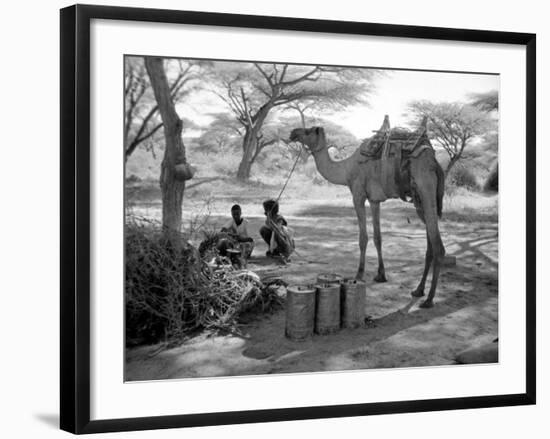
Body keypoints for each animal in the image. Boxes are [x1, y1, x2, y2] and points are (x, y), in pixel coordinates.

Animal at [292, 117, 446, 310]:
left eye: (309, 131)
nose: (292, 133)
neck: (346, 169)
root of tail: (435, 162)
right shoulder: (374, 200)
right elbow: (378, 238)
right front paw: (381, 275)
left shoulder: (358, 195)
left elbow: (363, 238)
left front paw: (358, 275)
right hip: (420, 199)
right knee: (431, 243)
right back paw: (418, 290)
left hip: (425, 186)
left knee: (438, 245)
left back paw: (429, 299)